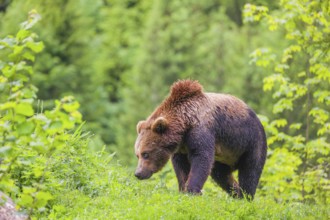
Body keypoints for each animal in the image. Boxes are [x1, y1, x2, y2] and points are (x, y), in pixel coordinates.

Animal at [133, 79, 266, 199]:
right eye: (137, 155)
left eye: (146, 154)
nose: (138, 173)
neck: (184, 124)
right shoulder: (181, 147)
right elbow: (181, 167)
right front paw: (183, 189)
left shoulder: (202, 130)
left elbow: (201, 157)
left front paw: (192, 191)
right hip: (223, 157)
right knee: (221, 174)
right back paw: (236, 193)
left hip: (250, 142)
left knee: (250, 171)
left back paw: (245, 196)